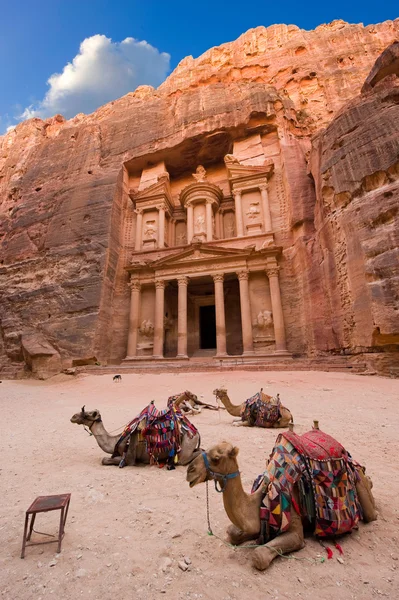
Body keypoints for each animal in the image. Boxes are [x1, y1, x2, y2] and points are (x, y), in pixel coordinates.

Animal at [70, 394, 202, 468]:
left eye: (87, 414)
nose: (73, 417)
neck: (117, 440)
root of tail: (196, 432)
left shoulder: (129, 459)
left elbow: (105, 460)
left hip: (186, 446)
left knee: (190, 457)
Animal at [188, 428, 378, 568]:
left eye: (216, 458)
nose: (190, 471)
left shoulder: (293, 526)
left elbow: (259, 555)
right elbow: (232, 533)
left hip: (357, 485)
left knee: (371, 513)